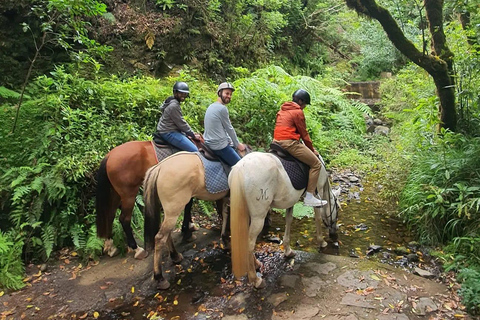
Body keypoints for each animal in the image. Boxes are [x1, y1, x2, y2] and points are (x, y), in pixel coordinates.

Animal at [143, 149, 251, 292]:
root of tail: (159, 167)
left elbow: (225, 213)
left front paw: (225, 239)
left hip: (170, 211)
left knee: (166, 234)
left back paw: (175, 256)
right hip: (174, 208)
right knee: (160, 238)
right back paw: (159, 277)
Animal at [228, 151, 338, 288]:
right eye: (337, 209)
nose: (334, 233)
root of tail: (239, 168)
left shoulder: (291, 200)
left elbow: (289, 220)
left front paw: (288, 250)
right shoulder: (317, 192)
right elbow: (317, 217)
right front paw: (322, 242)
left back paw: (257, 265)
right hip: (259, 217)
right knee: (249, 243)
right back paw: (255, 279)